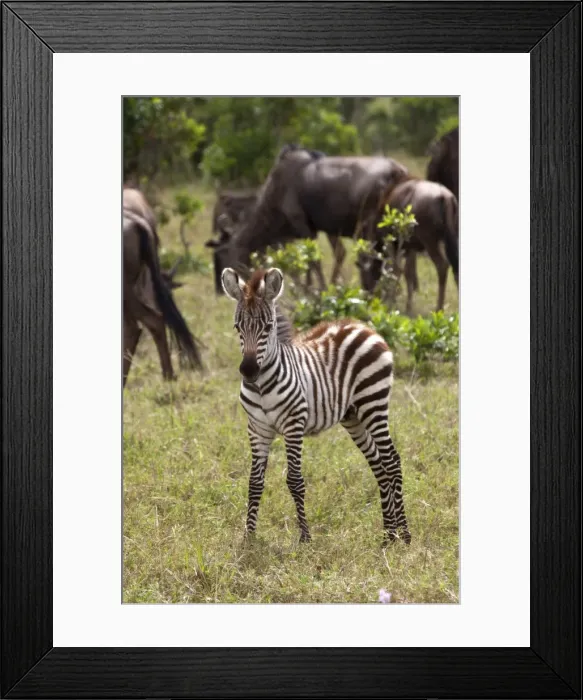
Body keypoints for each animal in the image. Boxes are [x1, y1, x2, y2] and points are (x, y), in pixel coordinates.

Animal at [221, 266, 411, 546]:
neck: (262, 387)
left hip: (373, 402)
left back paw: (405, 535)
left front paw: (305, 537)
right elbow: (254, 483)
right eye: (237, 327)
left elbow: (295, 481)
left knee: (392, 461)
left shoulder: (293, 424)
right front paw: (249, 537)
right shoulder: (257, 429)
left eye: (268, 327)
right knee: (378, 464)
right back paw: (388, 535)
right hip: (352, 416)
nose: (248, 371)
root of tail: (362, 326)